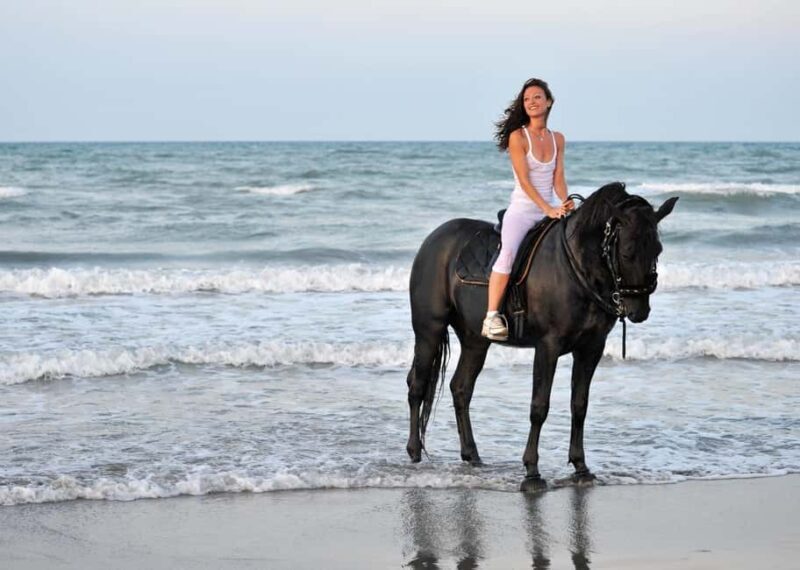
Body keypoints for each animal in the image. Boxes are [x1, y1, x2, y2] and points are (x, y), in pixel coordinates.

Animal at [405, 182, 678, 491]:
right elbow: (539, 407)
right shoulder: (548, 347)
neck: (575, 268)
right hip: (429, 330)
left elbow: (579, 405)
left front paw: (581, 468)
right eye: (628, 252)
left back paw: (471, 455)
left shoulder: (590, 348)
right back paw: (414, 452)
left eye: (658, 249)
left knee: (461, 389)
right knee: (417, 385)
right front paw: (532, 472)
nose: (639, 310)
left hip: (476, 341)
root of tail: (434, 239)